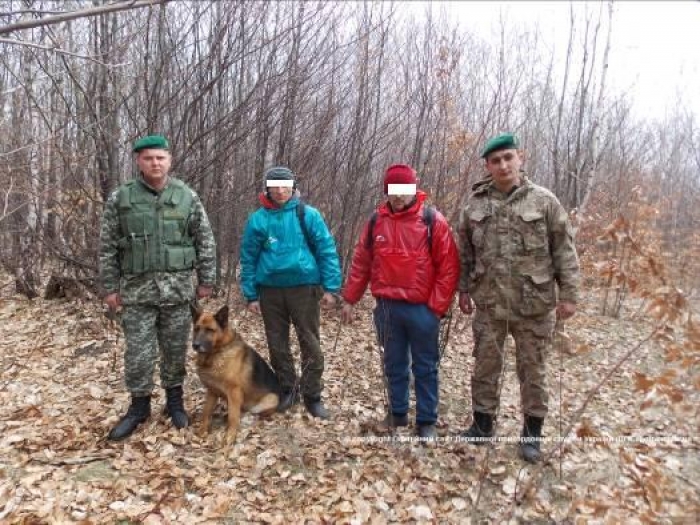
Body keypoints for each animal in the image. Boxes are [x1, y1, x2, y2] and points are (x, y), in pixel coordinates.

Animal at [191, 302, 282, 446]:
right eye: (196, 329)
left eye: (210, 330)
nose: (195, 345)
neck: (217, 353)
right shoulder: (212, 391)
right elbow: (206, 411)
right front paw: (202, 430)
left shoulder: (234, 392)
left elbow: (233, 417)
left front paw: (230, 437)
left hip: (271, 399)